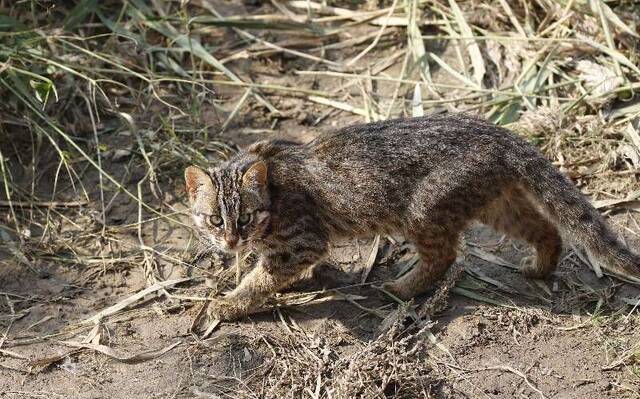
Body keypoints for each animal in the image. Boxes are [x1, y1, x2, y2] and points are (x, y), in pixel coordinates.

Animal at [182, 113, 636, 322]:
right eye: (215, 220)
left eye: (244, 218)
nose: (231, 242)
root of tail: (495, 131)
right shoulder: (299, 246)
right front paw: (311, 279)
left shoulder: (302, 241)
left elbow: (260, 280)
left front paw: (228, 304)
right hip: (495, 204)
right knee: (547, 228)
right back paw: (539, 268)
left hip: (423, 212)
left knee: (445, 256)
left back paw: (403, 287)